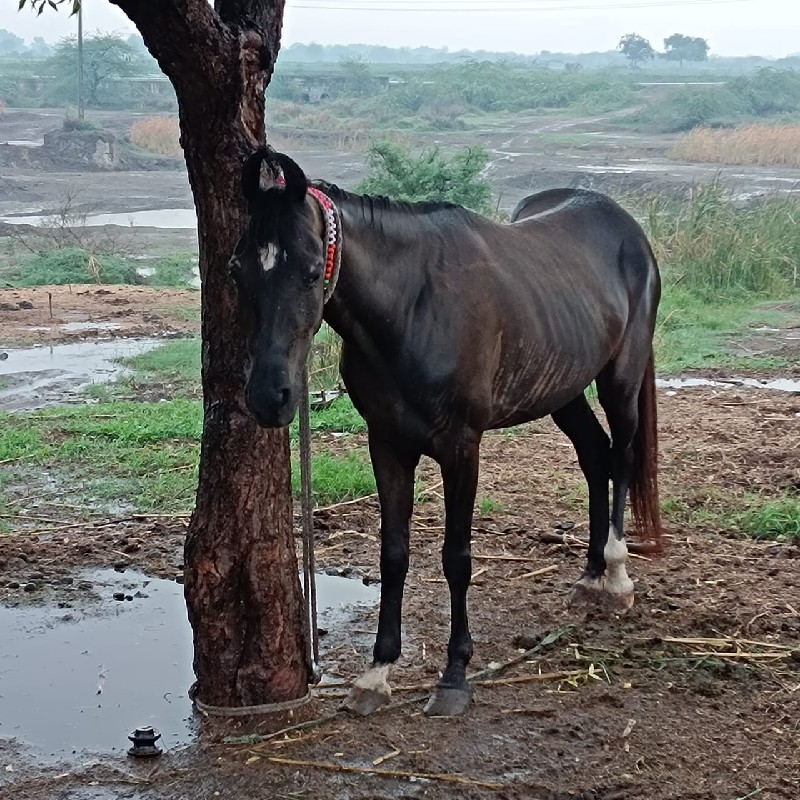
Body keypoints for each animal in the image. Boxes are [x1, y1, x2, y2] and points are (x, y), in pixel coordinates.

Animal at [227, 148, 664, 720]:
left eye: (309, 271)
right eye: (237, 272)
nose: (269, 397)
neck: (414, 307)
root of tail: (623, 224)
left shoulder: (462, 449)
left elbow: (456, 558)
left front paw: (455, 675)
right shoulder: (388, 445)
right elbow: (393, 555)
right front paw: (377, 673)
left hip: (621, 378)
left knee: (621, 456)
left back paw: (614, 576)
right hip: (563, 387)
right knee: (595, 455)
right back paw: (590, 575)